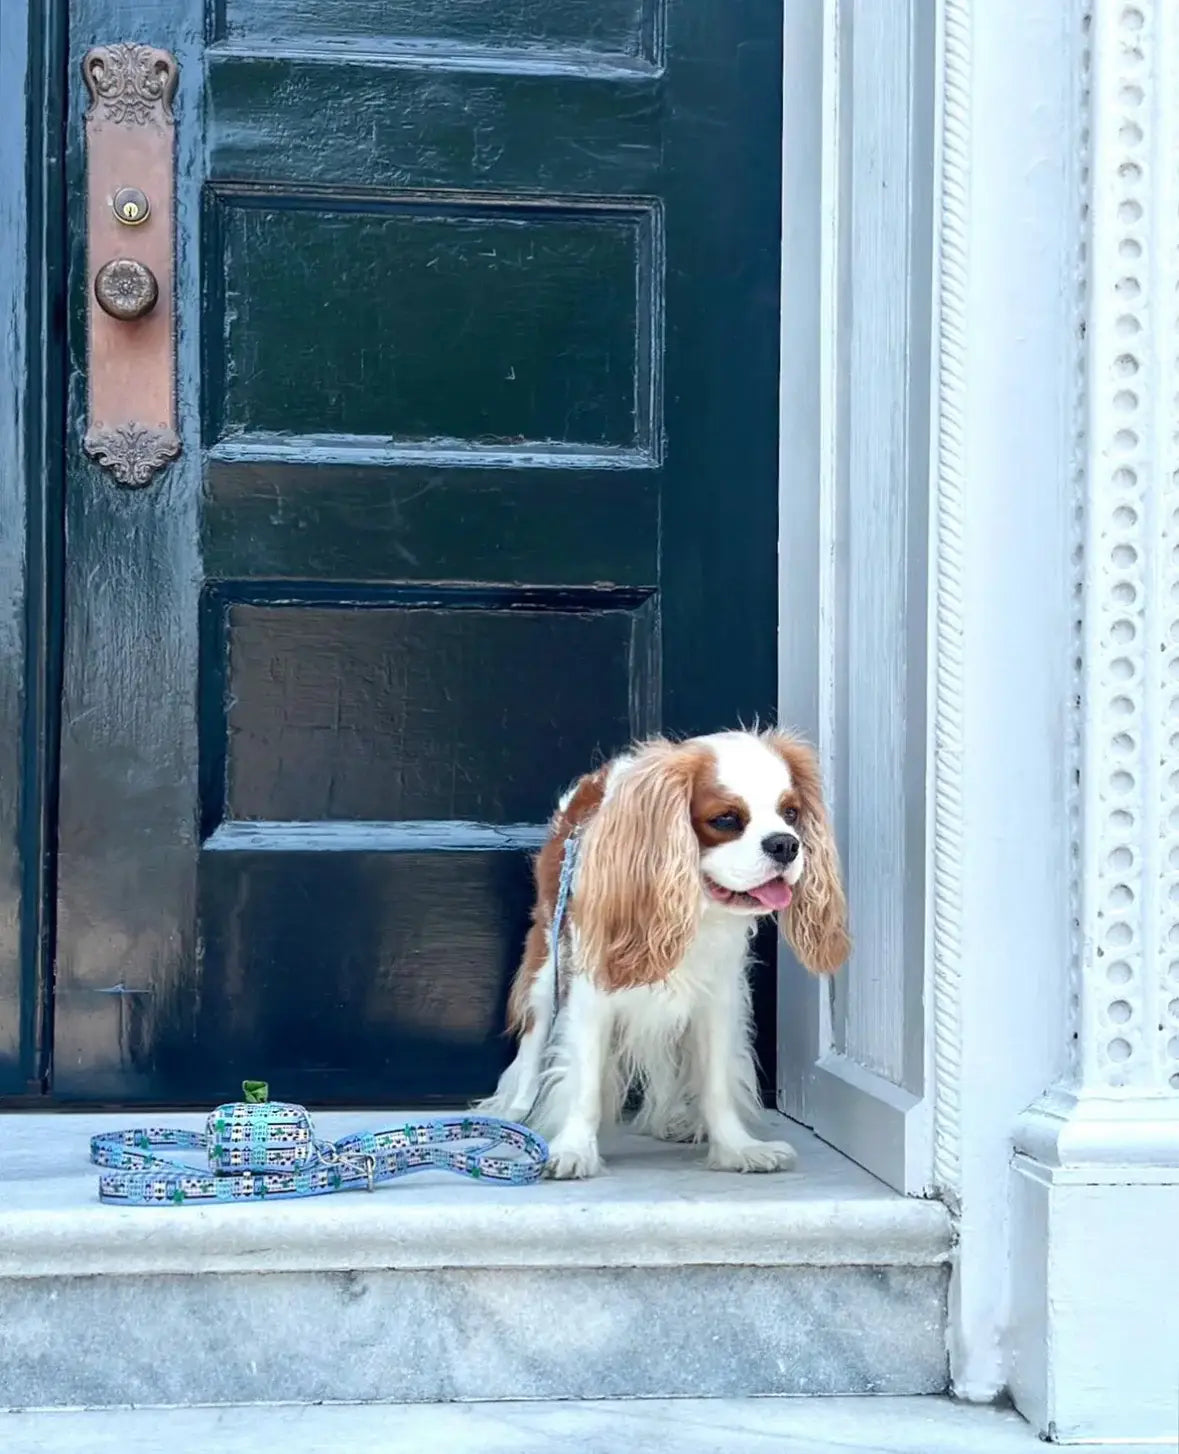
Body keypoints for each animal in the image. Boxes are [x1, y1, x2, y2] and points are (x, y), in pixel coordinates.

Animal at [473, 732, 854, 1174]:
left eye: (791, 813)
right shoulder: (590, 995)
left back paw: (668, 1119)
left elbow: (716, 1083)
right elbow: (584, 1081)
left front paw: (736, 1148)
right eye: (726, 819)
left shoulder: (717, 998)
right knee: (533, 1050)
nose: (786, 844)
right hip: (544, 971)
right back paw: (515, 1116)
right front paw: (573, 1149)